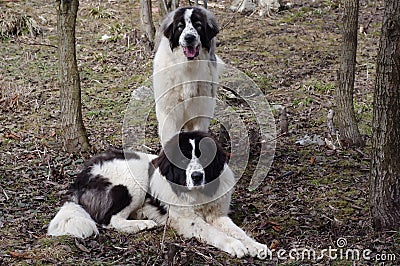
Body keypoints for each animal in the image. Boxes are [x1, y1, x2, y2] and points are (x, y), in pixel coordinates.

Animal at [48, 132, 270, 258]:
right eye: (184, 158)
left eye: (203, 156)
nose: (197, 176)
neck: (198, 194)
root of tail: (81, 177)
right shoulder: (187, 220)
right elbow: (214, 232)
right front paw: (235, 246)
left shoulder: (218, 215)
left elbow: (237, 231)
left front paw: (255, 246)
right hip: (135, 179)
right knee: (110, 220)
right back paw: (141, 224)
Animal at [153, 6, 223, 148]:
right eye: (180, 26)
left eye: (198, 25)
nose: (189, 37)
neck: (188, 67)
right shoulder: (169, 115)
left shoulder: (200, 114)